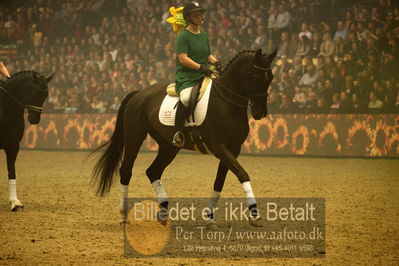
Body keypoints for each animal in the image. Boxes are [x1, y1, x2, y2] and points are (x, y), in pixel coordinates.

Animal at [0, 70, 53, 210]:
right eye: (34, 91)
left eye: (45, 94)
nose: (34, 119)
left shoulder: (13, 146)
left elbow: (12, 172)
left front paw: (15, 202)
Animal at [92, 48, 276, 227]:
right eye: (257, 77)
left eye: (271, 78)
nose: (260, 113)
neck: (226, 101)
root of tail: (139, 94)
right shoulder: (220, 148)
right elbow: (243, 174)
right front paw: (255, 215)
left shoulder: (233, 149)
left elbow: (219, 181)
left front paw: (210, 219)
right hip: (134, 138)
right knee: (126, 171)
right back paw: (124, 215)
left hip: (169, 146)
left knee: (153, 171)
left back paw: (163, 213)